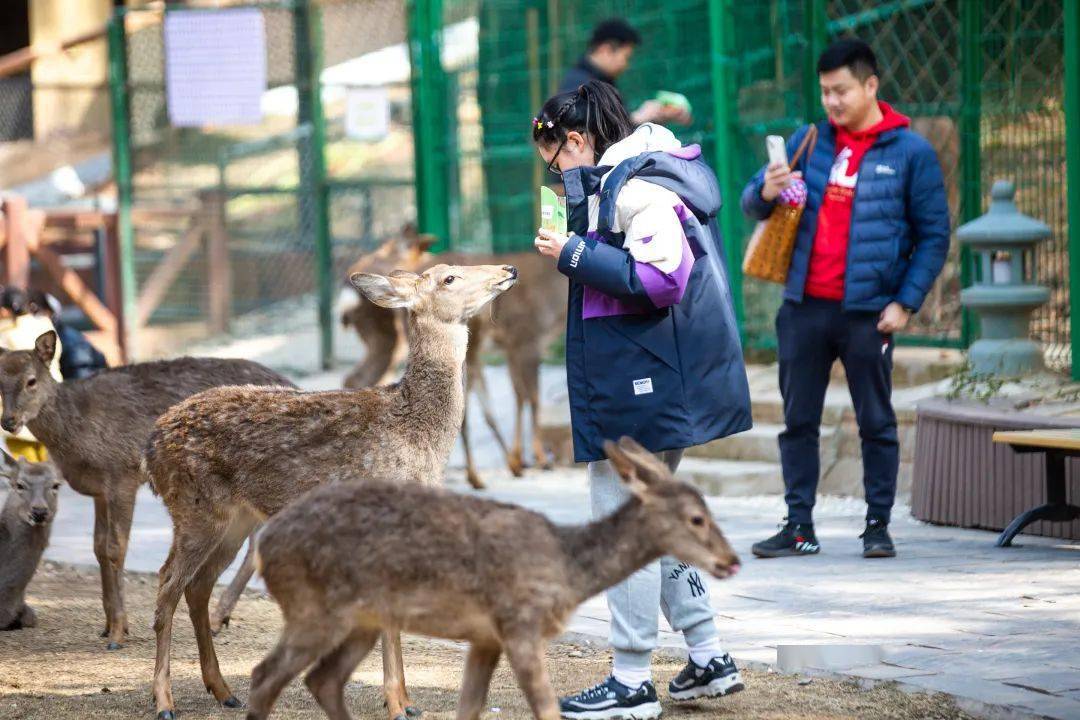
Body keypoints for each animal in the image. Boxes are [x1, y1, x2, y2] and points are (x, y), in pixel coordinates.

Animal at [144, 263, 517, 720]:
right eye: (448, 278)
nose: (508, 269)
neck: (420, 436)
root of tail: (150, 447)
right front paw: (396, 703)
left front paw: (408, 702)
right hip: (194, 507)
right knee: (167, 584)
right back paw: (164, 700)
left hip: (236, 519)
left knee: (198, 586)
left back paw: (223, 690)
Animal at [245, 436, 740, 720]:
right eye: (696, 518)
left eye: (710, 512)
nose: (732, 560)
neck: (565, 567)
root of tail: (265, 547)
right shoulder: (520, 622)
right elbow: (546, 709)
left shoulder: (486, 636)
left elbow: (470, 708)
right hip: (314, 607)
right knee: (264, 674)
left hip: (359, 621)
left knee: (321, 680)